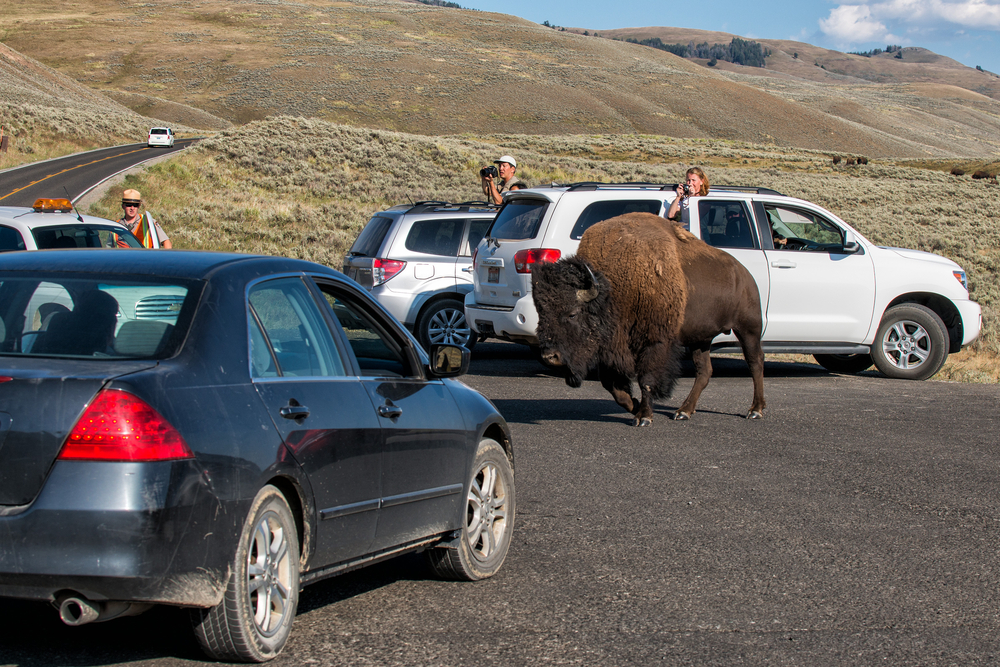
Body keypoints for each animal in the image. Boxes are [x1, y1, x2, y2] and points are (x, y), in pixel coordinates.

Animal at [532, 212, 765, 426]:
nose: (549, 356)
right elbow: (612, 386)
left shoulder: (654, 343)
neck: (613, 290)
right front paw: (634, 406)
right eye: (541, 313)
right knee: (704, 371)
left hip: (748, 329)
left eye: (572, 313)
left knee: (755, 362)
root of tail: (745, 274)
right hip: (701, 339)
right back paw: (684, 411)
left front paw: (643, 417)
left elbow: (646, 380)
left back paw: (755, 410)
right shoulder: (610, 349)